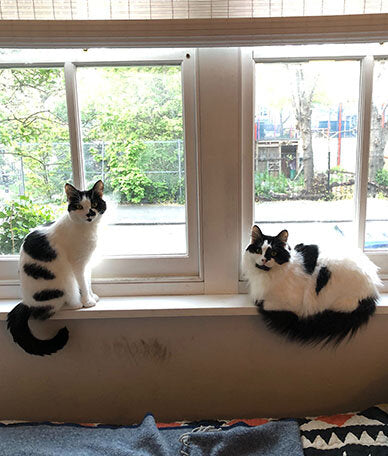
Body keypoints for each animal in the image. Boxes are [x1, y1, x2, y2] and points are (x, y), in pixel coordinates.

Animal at [7, 181, 107, 356]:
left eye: (94, 204)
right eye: (79, 206)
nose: (90, 213)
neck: (87, 230)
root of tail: (26, 303)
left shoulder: (87, 263)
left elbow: (88, 282)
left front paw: (92, 296)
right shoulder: (78, 264)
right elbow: (82, 283)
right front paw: (87, 302)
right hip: (65, 283)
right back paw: (76, 303)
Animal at [242, 226, 382, 344]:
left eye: (274, 254)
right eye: (258, 250)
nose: (264, 259)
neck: (264, 276)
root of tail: (372, 291)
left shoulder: (288, 304)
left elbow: (265, 304)